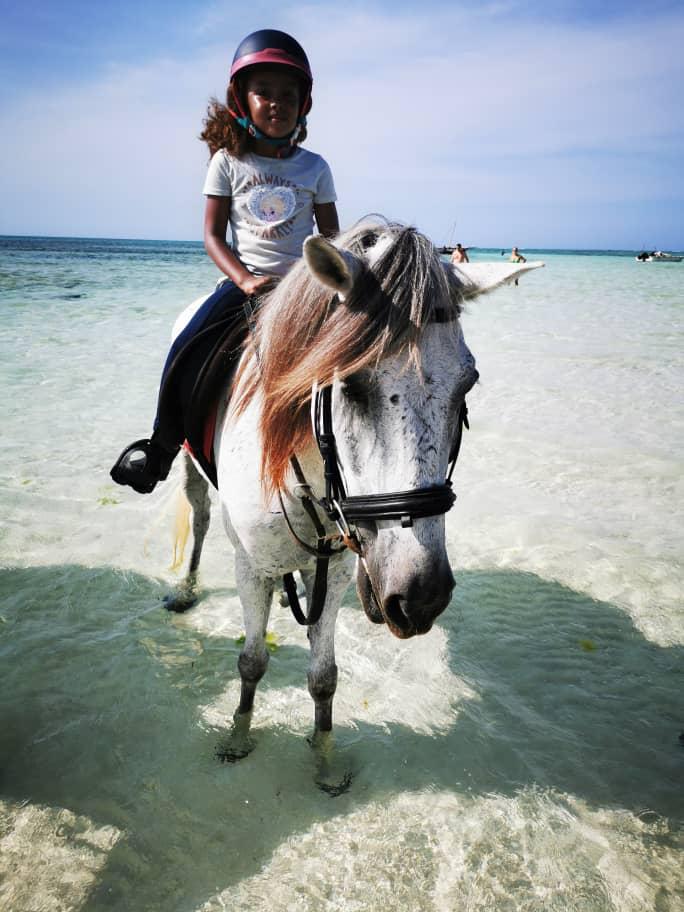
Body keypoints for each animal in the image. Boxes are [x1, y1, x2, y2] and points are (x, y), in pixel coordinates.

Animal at [170, 218, 480, 771]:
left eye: (467, 385)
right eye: (351, 384)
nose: (421, 597)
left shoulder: (334, 569)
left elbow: (324, 676)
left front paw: (325, 758)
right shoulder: (250, 566)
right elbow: (252, 660)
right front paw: (238, 735)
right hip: (189, 468)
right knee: (199, 518)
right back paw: (186, 589)